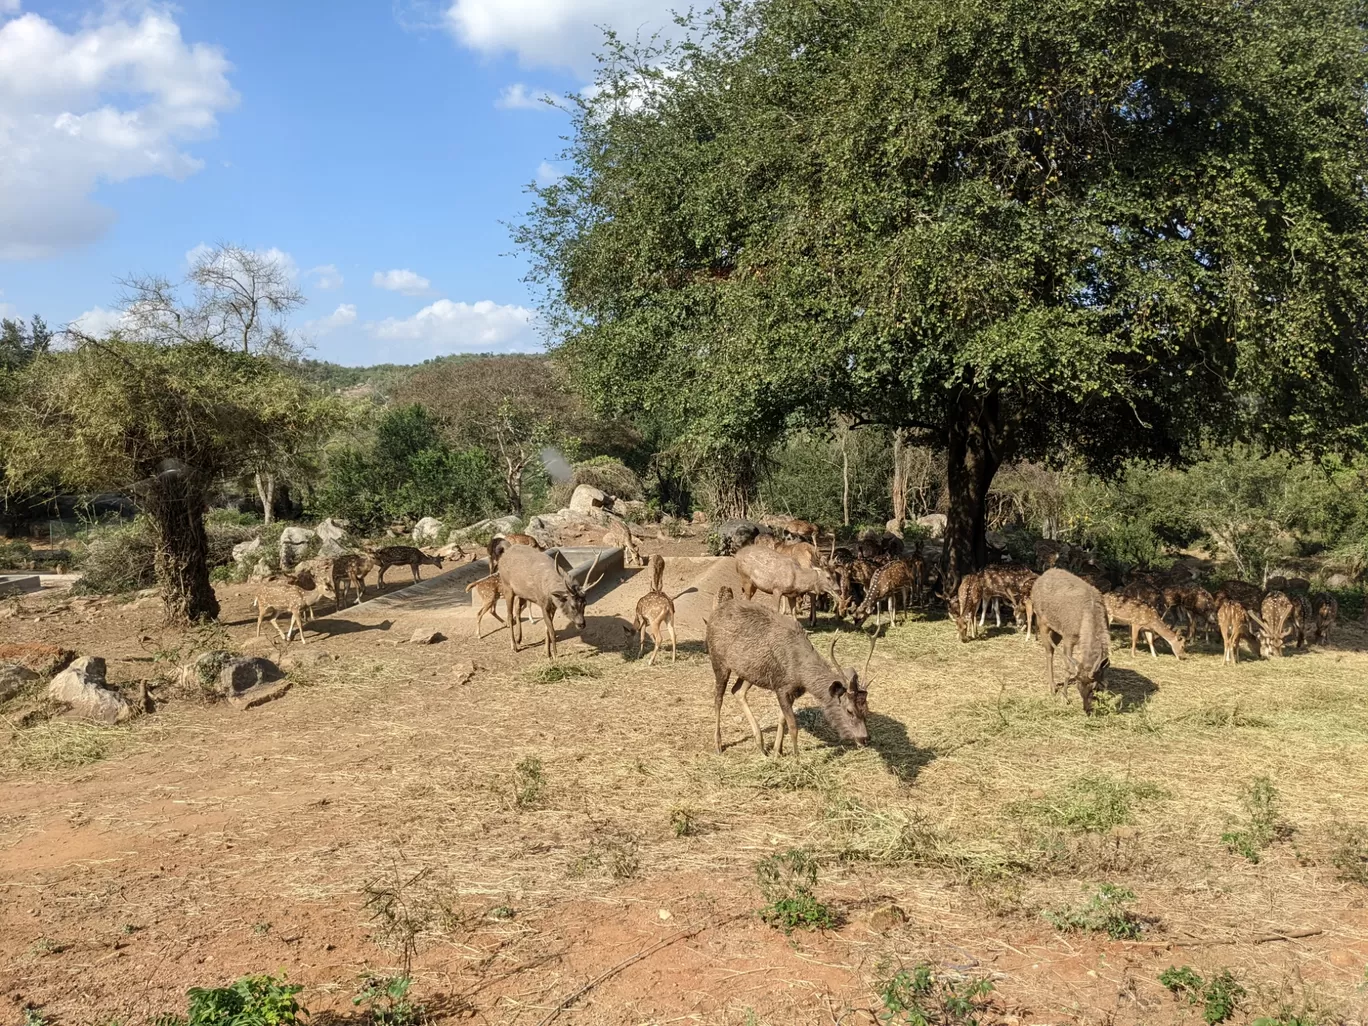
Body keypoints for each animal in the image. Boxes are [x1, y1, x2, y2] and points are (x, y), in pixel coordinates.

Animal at [705, 590, 875, 760]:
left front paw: (777, 751)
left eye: (866, 709)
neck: (800, 675)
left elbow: (782, 720)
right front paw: (796, 757)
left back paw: (760, 743)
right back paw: (718, 744)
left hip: (749, 671)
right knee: (718, 698)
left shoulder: (792, 691)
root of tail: (713, 614)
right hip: (718, 660)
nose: (865, 739)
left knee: (737, 691)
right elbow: (793, 726)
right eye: (849, 710)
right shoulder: (781, 687)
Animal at [1028, 571, 1110, 716]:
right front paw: (1065, 697)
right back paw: (1052, 687)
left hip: (1057, 631)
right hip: (1041, 620)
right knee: (1048, 652)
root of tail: (1042, 575)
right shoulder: (1068, 636)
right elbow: (1068, 668)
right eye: (1077, 686)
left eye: (1094, 687)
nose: (1087, 709)